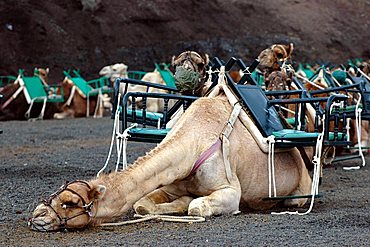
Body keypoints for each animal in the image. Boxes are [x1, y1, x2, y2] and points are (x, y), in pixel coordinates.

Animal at [29, 89, 312, 232]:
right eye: (57, 192)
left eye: (71, 203)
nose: (37, 215)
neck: (194, 142)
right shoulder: (170, 184)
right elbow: (143, 205)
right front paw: (177, 204)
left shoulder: (230, 190)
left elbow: (196, 206)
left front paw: (188, 204)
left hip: (302, 188)